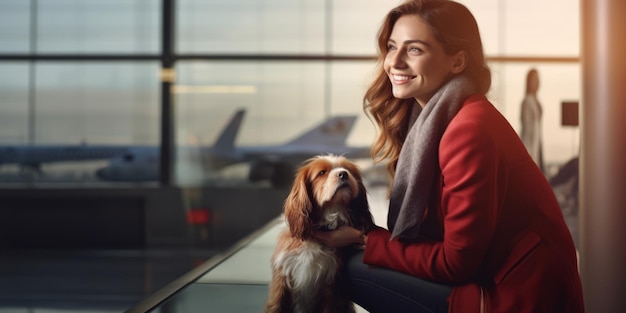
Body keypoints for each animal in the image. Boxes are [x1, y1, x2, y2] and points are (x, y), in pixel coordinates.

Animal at [262, 155, 370, 312]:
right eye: (322, 173)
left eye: (348, 170)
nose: (343, 174)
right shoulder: (281, 278)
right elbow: (275, 306)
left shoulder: (329, 287)